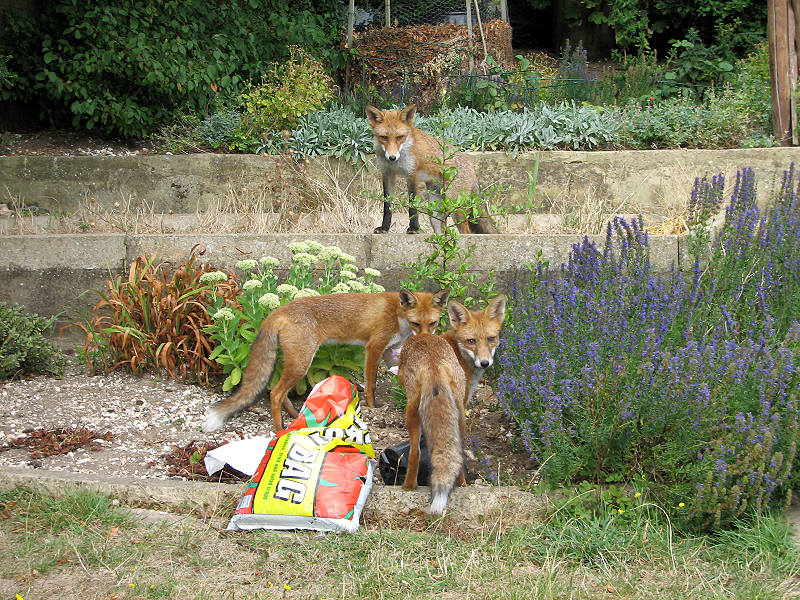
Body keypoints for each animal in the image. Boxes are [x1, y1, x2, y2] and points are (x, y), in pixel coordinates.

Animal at [200, 290, 450, 434]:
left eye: (433, 323)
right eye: (417, 324)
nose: (426, 339)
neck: (398, 313)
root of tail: (279, 310)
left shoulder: (389, 350)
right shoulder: (374, 347)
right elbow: (371, 383)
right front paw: (372, 405)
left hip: (294, 362)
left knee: (279, 392)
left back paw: (296, 417)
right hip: (301, 364)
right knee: (275, 393)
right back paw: (280, 429)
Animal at [366, 104, 496, 236]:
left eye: (399, 137)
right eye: (384, 137)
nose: (392, 157)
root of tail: (472, 165)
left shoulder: (411, 174)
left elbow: (412, 205)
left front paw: (414, 228)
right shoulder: (387, 174)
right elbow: (387, 205)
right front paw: (384, 228)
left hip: (455, 206)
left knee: (466, 231)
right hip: (435, 212)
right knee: (441, 232)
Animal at [396, 328, 466, 516]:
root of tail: (435, 364)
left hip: (411, 412)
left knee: (415, 452)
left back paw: (408, 486)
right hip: (461, 415)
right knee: (460, 455)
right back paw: (462, 484)